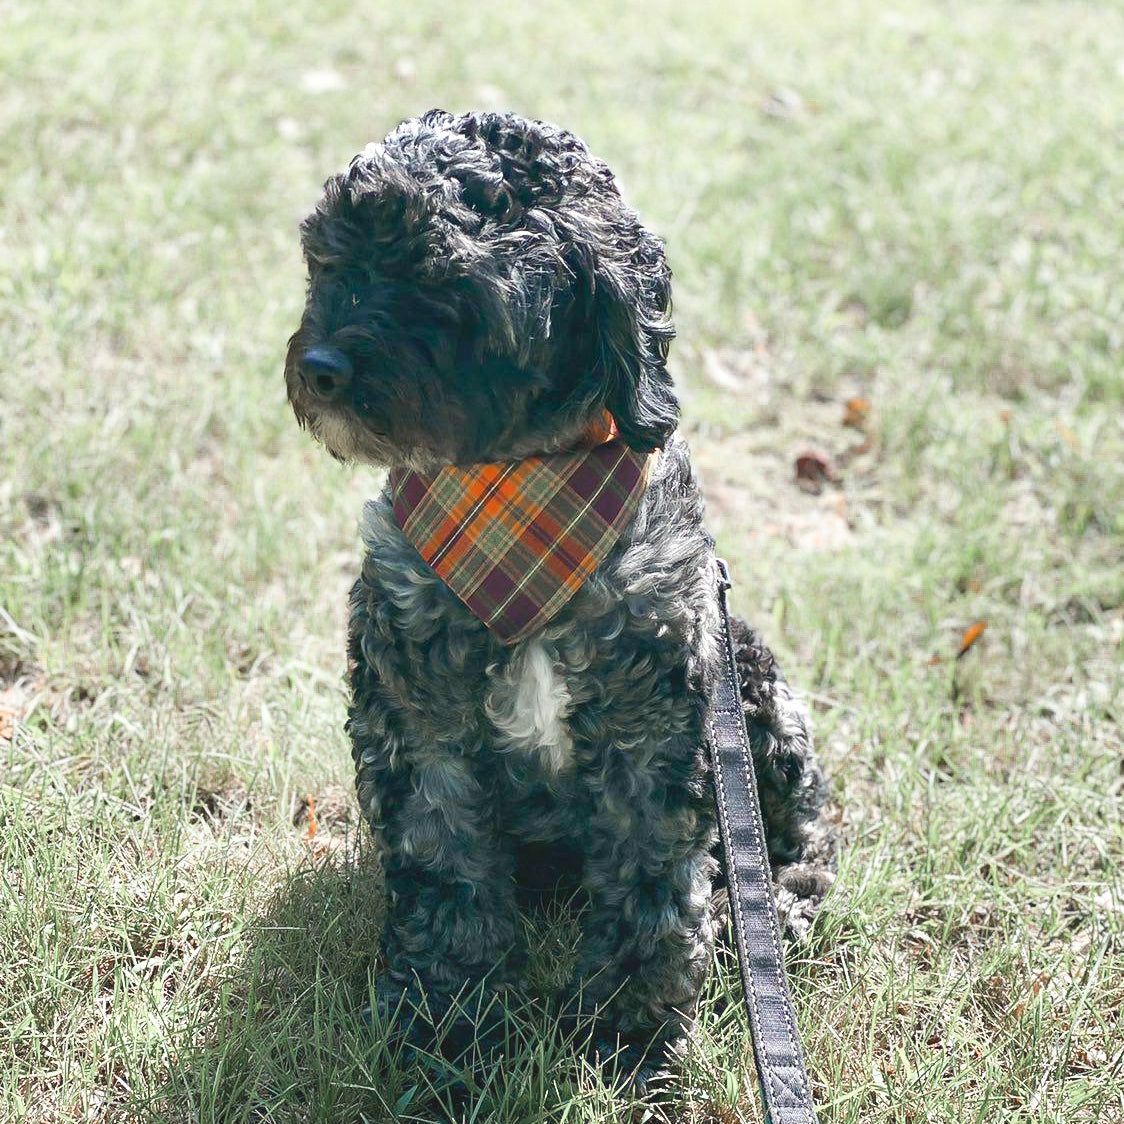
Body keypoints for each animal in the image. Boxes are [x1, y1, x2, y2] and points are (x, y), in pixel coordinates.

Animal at [285, 109, 840, 1083]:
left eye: (442, 282)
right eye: (331, 262)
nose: (319, 367)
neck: (516, 483)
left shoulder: (653, 730)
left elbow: (652, 887)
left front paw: (629, 1036)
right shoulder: (419, 718)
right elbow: (447, 873)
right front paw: (448, 1028)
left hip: (755, 686)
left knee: (804, 836)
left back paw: (775, 907)